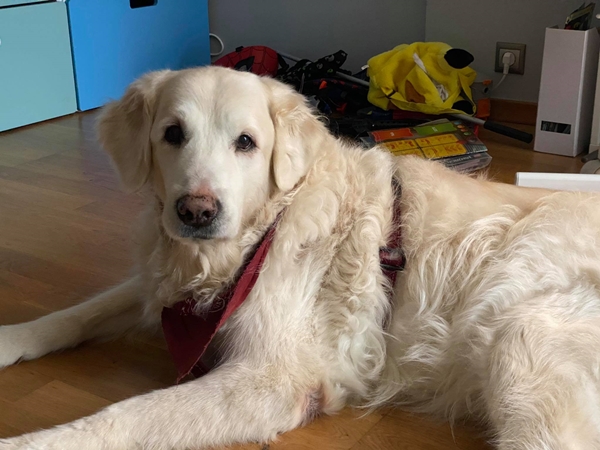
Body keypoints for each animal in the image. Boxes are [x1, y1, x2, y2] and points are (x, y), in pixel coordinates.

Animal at [1, 66, 600, 450]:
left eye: (246, 142)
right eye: (172, 134)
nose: (196, 211)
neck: (261, 233)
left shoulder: (275, 381)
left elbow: (126, 416)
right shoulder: (162, 283)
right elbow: (81, 312)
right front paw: (12, 338)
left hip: (523, 343)